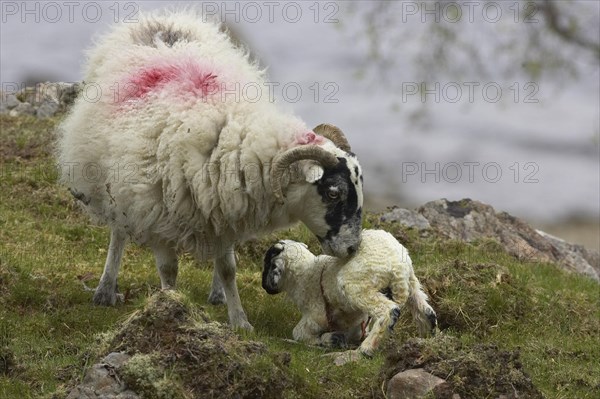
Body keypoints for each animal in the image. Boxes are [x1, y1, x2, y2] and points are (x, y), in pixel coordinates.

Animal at [57, 8, 366, 332]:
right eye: (333, 193)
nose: (352, 250)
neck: (232, 138)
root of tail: (160, 18)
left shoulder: (224, 211)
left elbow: (228, 268)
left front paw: (239, 321)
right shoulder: (157, 216)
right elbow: (168, 270)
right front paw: (168, 308)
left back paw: (217, 294)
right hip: (116, 185)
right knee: (118, 231)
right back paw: (105, 289)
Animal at [262, 230, 436, 358]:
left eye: (267, 262)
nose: (264, 286)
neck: (306, 274)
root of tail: (397, 265)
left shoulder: (315, 316)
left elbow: (298, 333)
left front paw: (325, 340)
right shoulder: (355, 325)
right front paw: (334, 340)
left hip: (357, 286)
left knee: (388, 310)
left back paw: (366, 349)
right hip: (412, 283)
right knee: (426, 311)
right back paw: (428, 337)